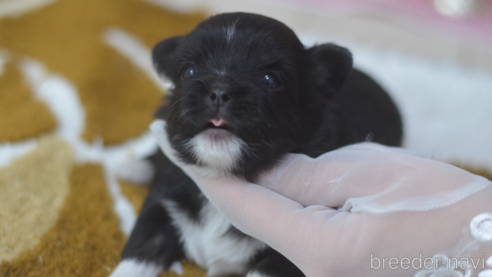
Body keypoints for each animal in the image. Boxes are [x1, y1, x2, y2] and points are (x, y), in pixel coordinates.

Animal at [111, 11, 404, 274]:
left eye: (270, 79)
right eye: (189, 71)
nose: (219, 91)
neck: (221, 173)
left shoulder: (287, 258)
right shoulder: (161, 206)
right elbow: (138, 253)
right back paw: (134, 167)